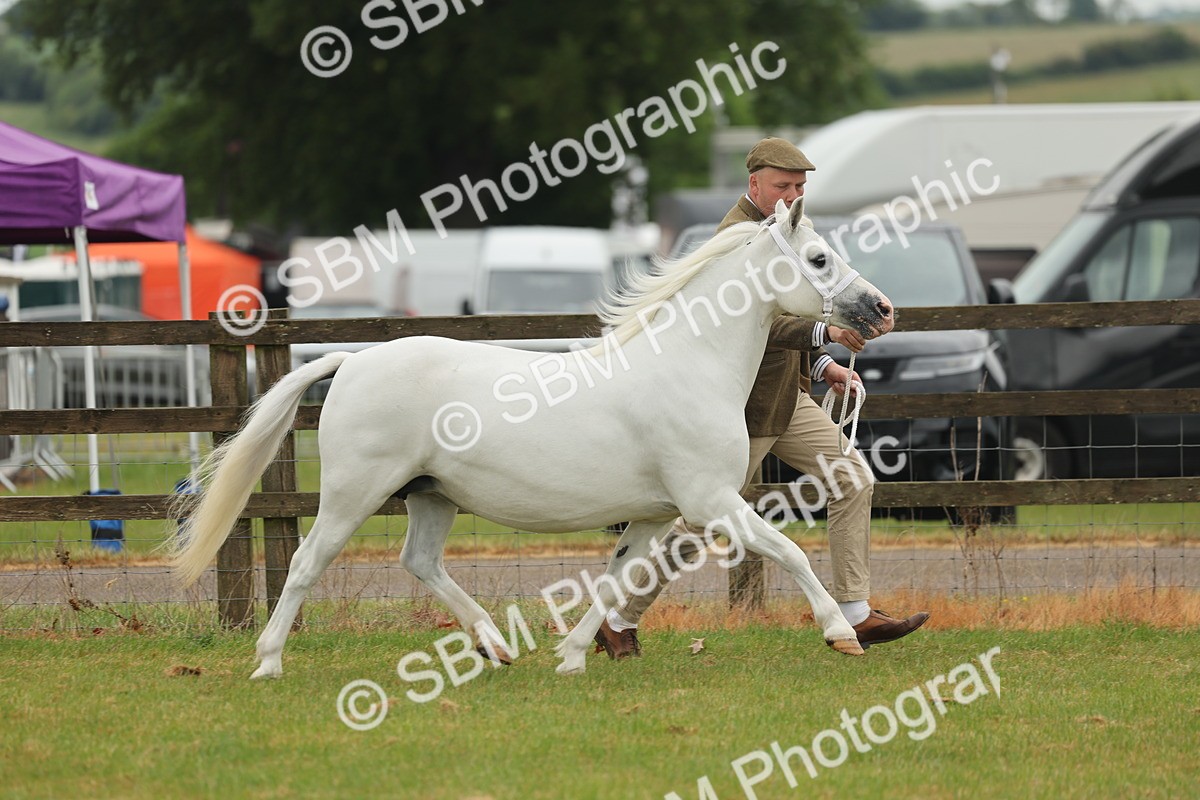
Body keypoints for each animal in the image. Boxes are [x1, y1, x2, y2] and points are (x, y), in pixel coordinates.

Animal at [172, 198, 895, 678]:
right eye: (819, 257)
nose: (881, 309)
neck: (688, 365)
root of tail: (350, 362)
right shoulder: (712, 502)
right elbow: (790, 552)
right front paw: (841, 633)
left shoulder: (657, 516)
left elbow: (616, 582)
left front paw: (571, 656)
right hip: (355, 493)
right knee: (305, 563)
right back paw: (268, 663)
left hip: (431, 495)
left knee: (421, 562)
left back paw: (493, 644)